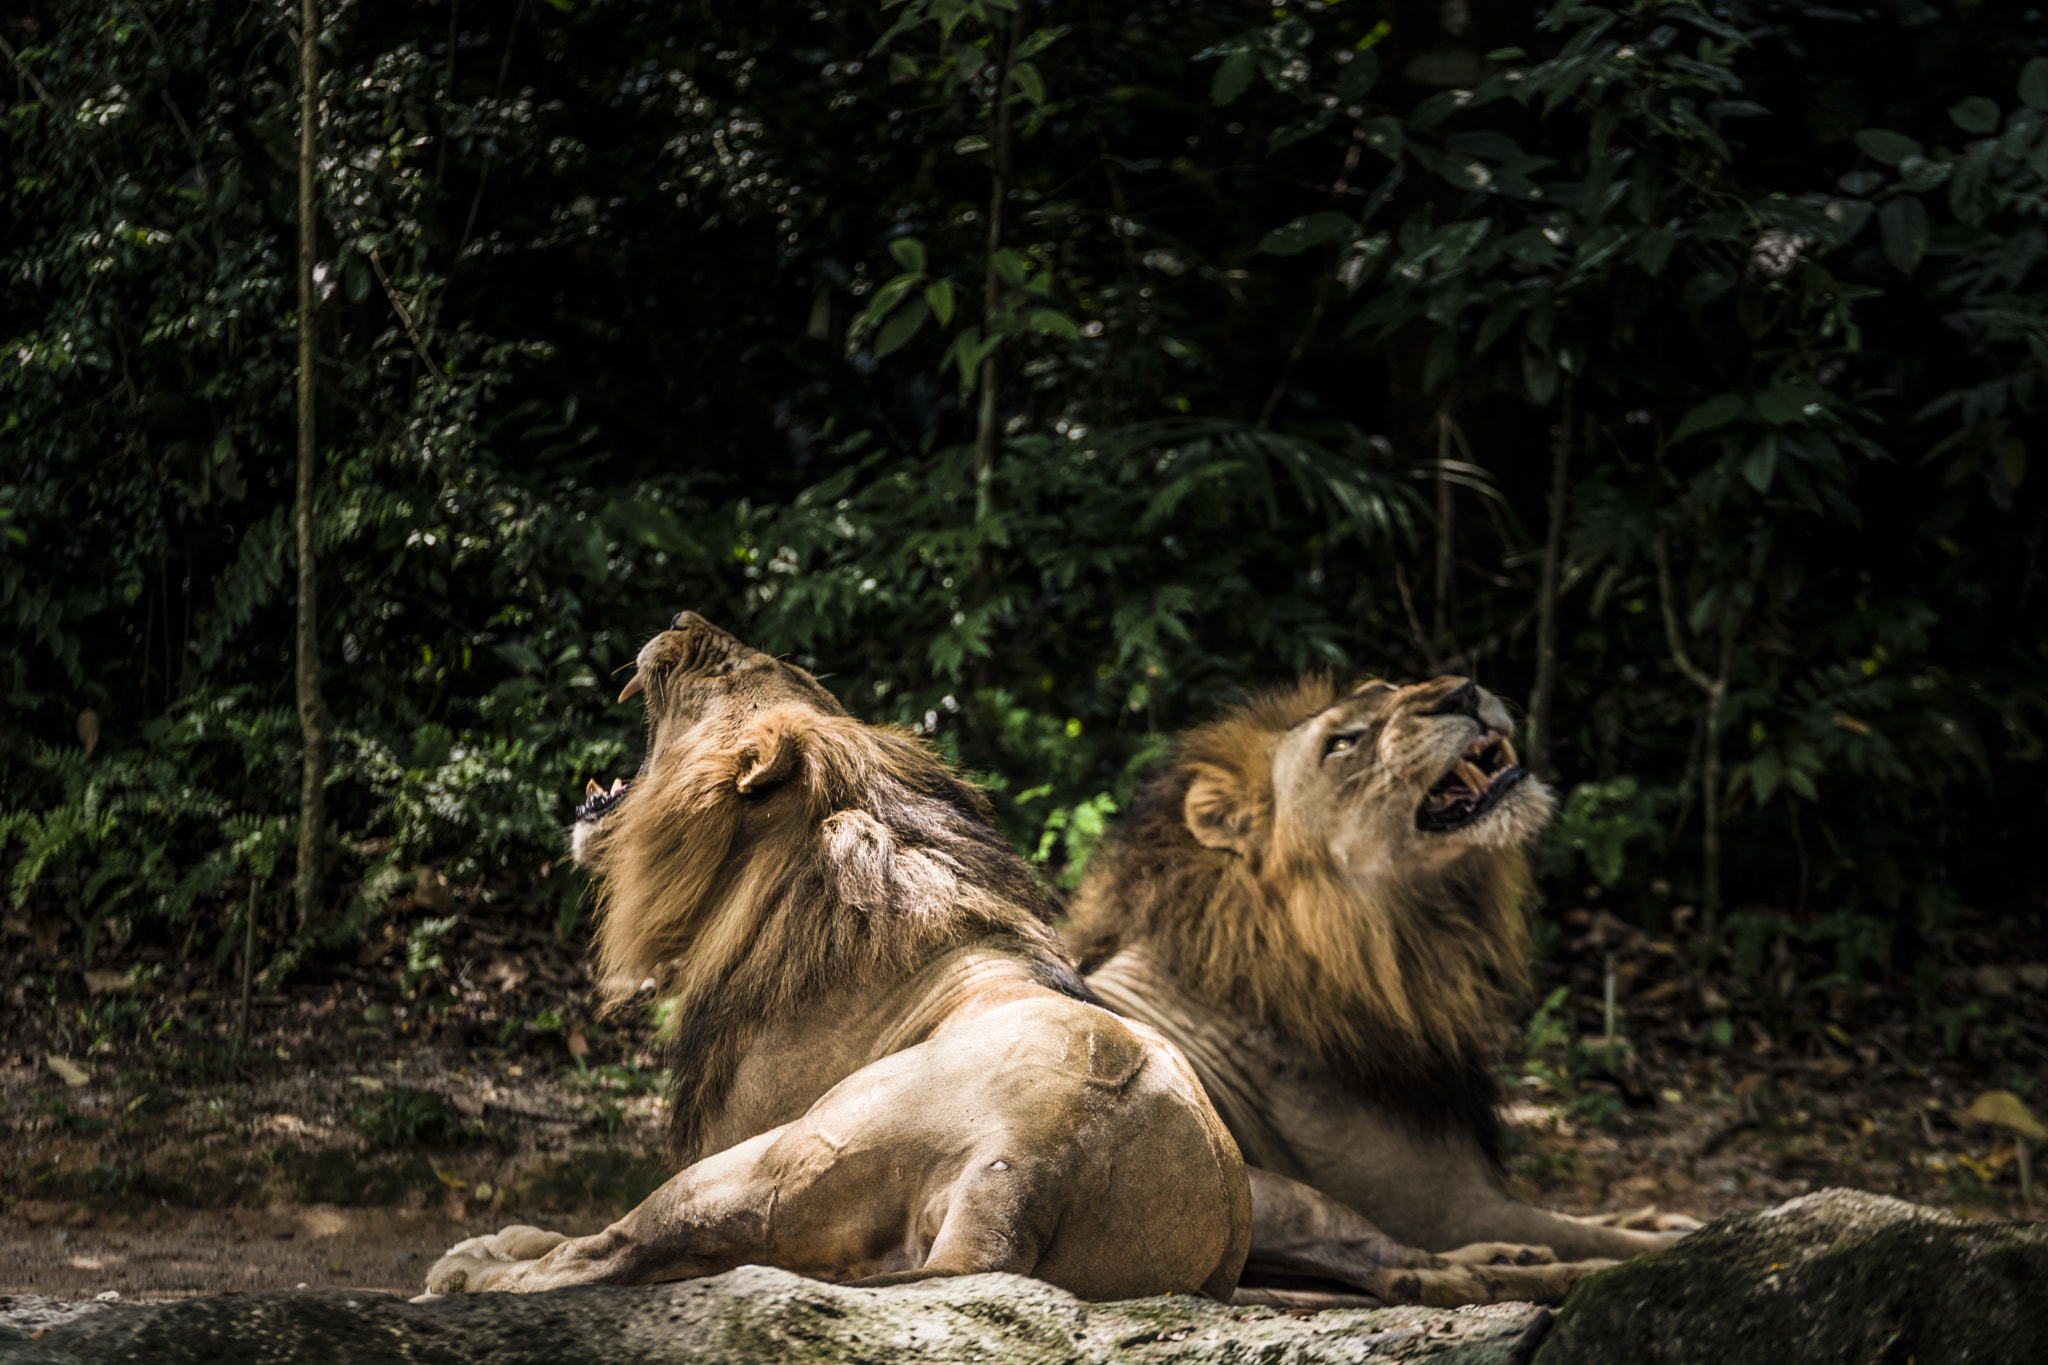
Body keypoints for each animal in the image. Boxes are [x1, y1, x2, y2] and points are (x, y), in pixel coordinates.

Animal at [422, 612, 1250, 1301]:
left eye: (727, 667)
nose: (682, 617)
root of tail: (1027, 1169)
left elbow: (599, 1238)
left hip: (779, 1158)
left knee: (609, 1253)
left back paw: (470, 1273)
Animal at [1064, 674, 1694, 1303]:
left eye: (1389, 686)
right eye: (1341, 744)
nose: (1462, 692)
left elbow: (1590, 1218)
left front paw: (1657, 1216)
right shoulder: (1449, 1207)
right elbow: (1589, 1233)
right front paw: (1666, 1241)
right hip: (1261, 1187)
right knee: (1415, 1272)